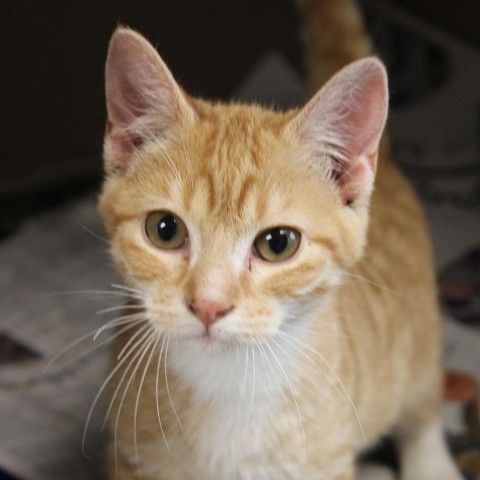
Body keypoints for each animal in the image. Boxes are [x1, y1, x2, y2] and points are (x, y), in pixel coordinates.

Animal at [96, 0, 462, 480]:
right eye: (165, 230)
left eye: (278, 243)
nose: (208, 305)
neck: (228, 383)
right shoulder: (127, 456)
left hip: (419, 342)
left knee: (422, 410)